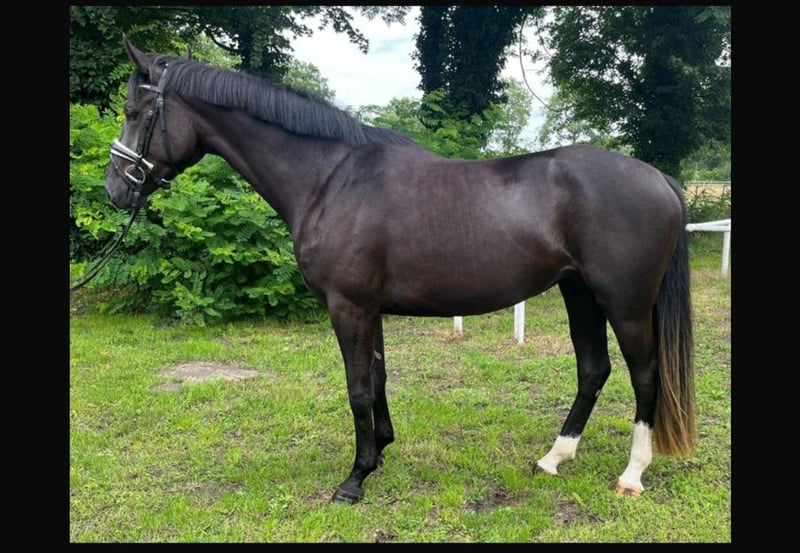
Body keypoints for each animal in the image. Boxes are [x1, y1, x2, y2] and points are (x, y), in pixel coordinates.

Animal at [105, 37, 696, 504]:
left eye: (134, 112)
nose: (116, 189)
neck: (331, 179)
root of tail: (658, 178)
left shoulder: (348, 308)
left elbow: (357, 388)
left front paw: (354, 479)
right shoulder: (370, 309)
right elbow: (378, 377)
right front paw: (381, 451)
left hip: (625, 303)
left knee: (646, 376)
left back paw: (631, 474)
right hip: (580, 293)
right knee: (593, 369)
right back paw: (554, 457)